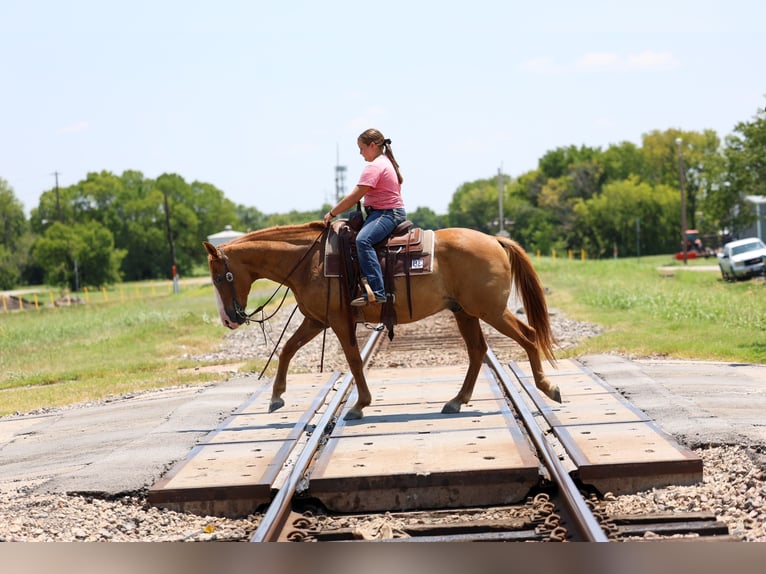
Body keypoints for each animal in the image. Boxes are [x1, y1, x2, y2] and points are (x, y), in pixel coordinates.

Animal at [203, 221, 560, 420]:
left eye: (220, 277)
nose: (230, 320)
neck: (310, 262)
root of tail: (495, 240)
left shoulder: (337, 320)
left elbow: (353, 359)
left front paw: (360, 404)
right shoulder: (316, 320)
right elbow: (287, 349)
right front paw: (277, 396)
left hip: (490, 310)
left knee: (528, 337)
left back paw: (548, 387)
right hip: (465, 312)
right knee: (477, 351)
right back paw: (456, 401)